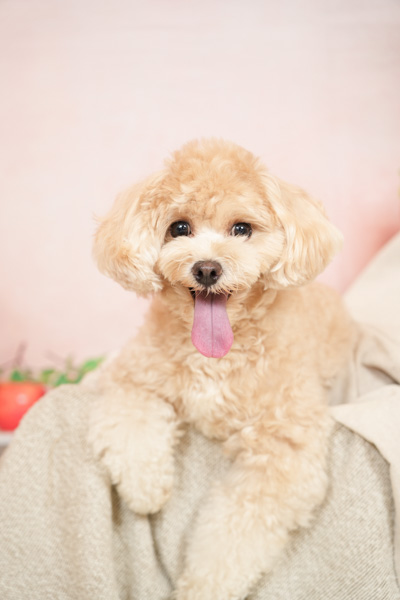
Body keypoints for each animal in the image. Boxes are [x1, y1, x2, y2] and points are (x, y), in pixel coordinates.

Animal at [89, 139, 356, 599]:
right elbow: (131, 420)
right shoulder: (133, 376)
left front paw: (201, 587)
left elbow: (234, 532)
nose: (207, 268)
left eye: (242, 229)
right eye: (179, 228)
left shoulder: (284, 450)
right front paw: (146, 489)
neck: (216, 356)